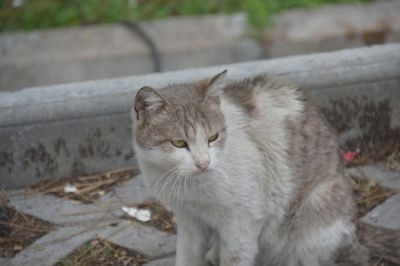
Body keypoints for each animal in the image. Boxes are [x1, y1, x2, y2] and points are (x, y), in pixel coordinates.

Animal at [132, 70, 400, 266]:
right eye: (179, 143)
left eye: (213, 137)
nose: (203, 163)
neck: (193, 188)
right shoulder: (189, 220)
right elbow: (187, 257)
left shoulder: (243, 222)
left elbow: (235, 258)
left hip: (316, 211)